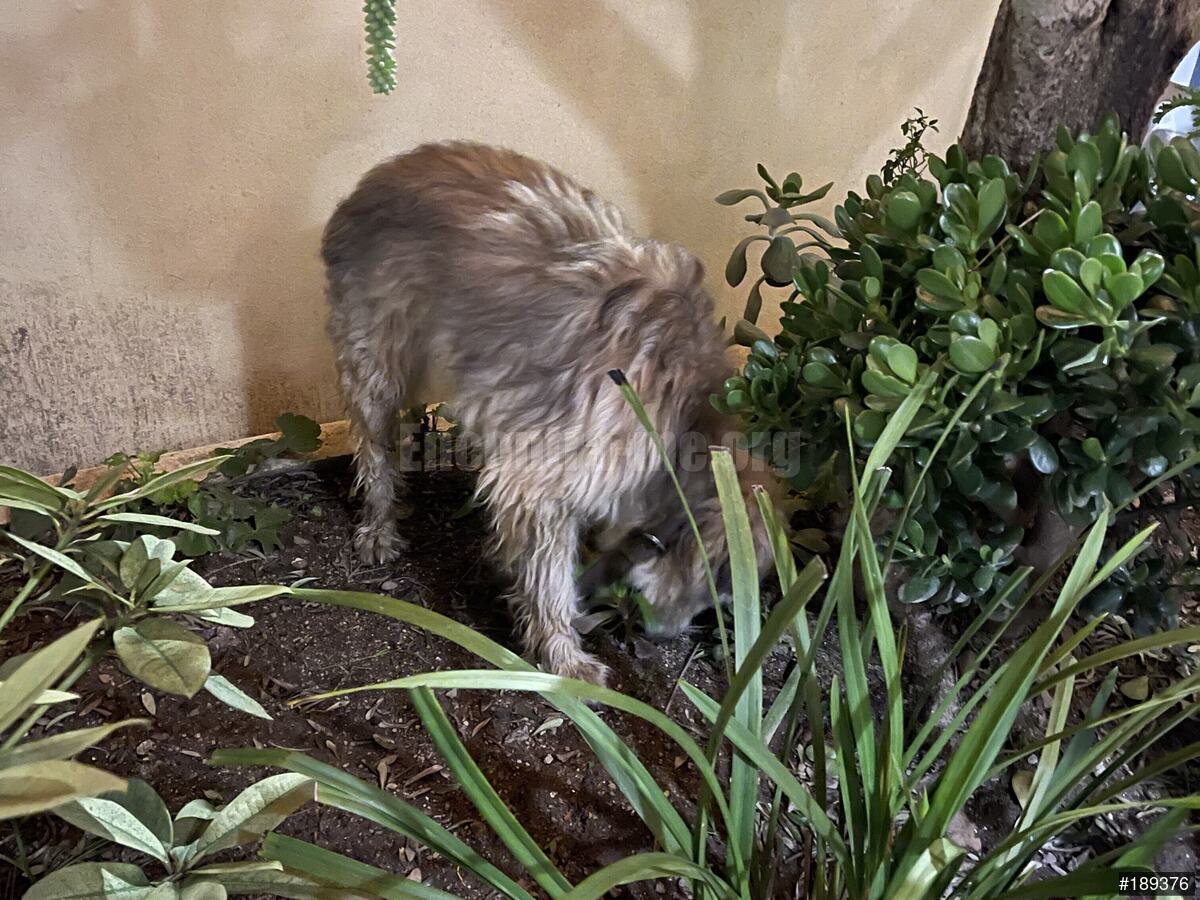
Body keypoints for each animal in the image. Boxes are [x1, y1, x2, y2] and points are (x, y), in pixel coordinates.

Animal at [322, 141, 779, 684]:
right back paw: (380, 524)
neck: (680, 422)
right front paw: (562, 655)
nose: (662, 636)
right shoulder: (542, 482)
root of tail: (381, 172)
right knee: (374, 445)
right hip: (375, 359)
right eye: (716, 585)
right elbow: (549, 575)